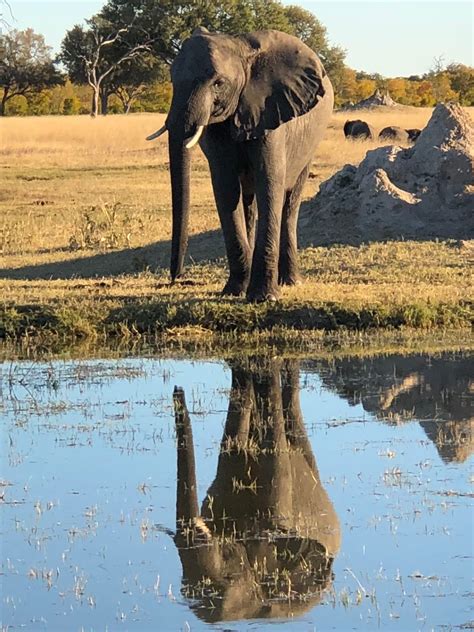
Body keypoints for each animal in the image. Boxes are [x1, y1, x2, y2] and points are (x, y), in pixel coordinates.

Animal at [146, 26, 336, 298]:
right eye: (172, 79)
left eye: (218, 83)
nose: (175, 278)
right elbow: (226, 188)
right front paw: (234, 291)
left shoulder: (271, 112)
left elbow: (269, 183)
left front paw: (264, 297)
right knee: (248, 201)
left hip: (309, 145)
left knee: (290, 203)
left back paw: (291, 282)